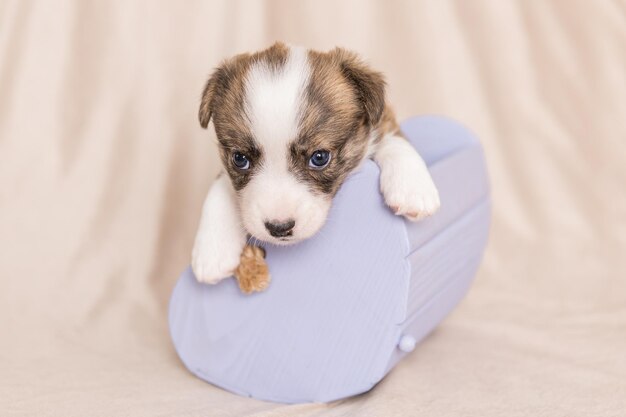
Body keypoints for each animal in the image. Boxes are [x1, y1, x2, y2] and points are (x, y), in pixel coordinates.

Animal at [191, 43, 438, 290]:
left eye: (319, 157)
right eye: (240, 159)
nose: (279, 228)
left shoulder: (383, 123)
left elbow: (393, 140)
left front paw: (412, 189)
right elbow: (220, 185)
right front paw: (212, 248)